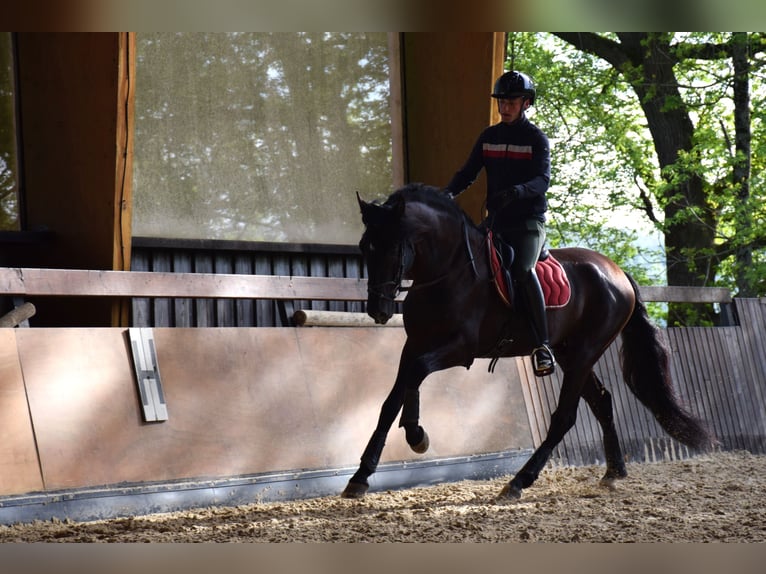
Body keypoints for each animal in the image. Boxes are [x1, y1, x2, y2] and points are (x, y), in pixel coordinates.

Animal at [342, 182, 712, 502]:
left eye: (393, 247)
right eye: (364, 247)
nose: (378, 309)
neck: (448, 270)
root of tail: (616, 271)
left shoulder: (460, 349)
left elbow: (415, 375)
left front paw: (415, 436)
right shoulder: (415, 344)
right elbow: (394, 398)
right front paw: (365, 473)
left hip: (584, 353)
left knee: (564, 417)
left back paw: (519, 481)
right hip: (571, 353)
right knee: (603, 402)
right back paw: (613, 472)